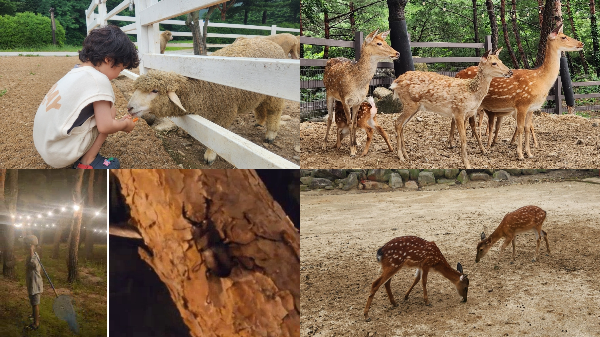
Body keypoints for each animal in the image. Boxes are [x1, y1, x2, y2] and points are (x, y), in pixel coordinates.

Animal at [126, 37, 286, 165]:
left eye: (155, 91)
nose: (129, 108)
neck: (201, 89)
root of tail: (270, 42)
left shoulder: (225, 113)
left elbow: (215, 138)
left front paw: (209, 155)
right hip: (261, 94)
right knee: (260, 106)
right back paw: (259, 122)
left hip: (274, 95)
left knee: (274, 111)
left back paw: (270, 134)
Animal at [454, 25, 580, 159]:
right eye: (564, 37)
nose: (581, 43)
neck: (540, 80)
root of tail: (456, 74)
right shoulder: (522, 103)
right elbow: (520, 128)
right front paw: (520, 154)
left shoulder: (531, 108)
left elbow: (527, 127)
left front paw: (529, 153)